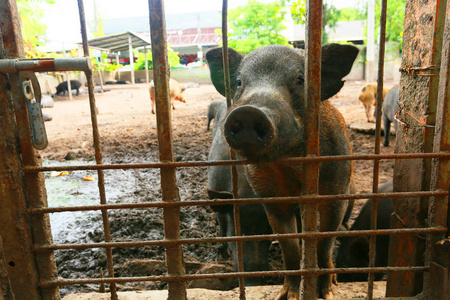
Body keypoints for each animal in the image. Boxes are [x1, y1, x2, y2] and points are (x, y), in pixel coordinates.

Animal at [207, 44, 358, 300]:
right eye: (239, 81)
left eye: (300, 80)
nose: (249, 112)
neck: (289, 166)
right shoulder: (270, 196)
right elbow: (290, 247)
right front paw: (287, 295)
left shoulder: (335, 190)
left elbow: (325, 242)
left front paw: (326, 292)